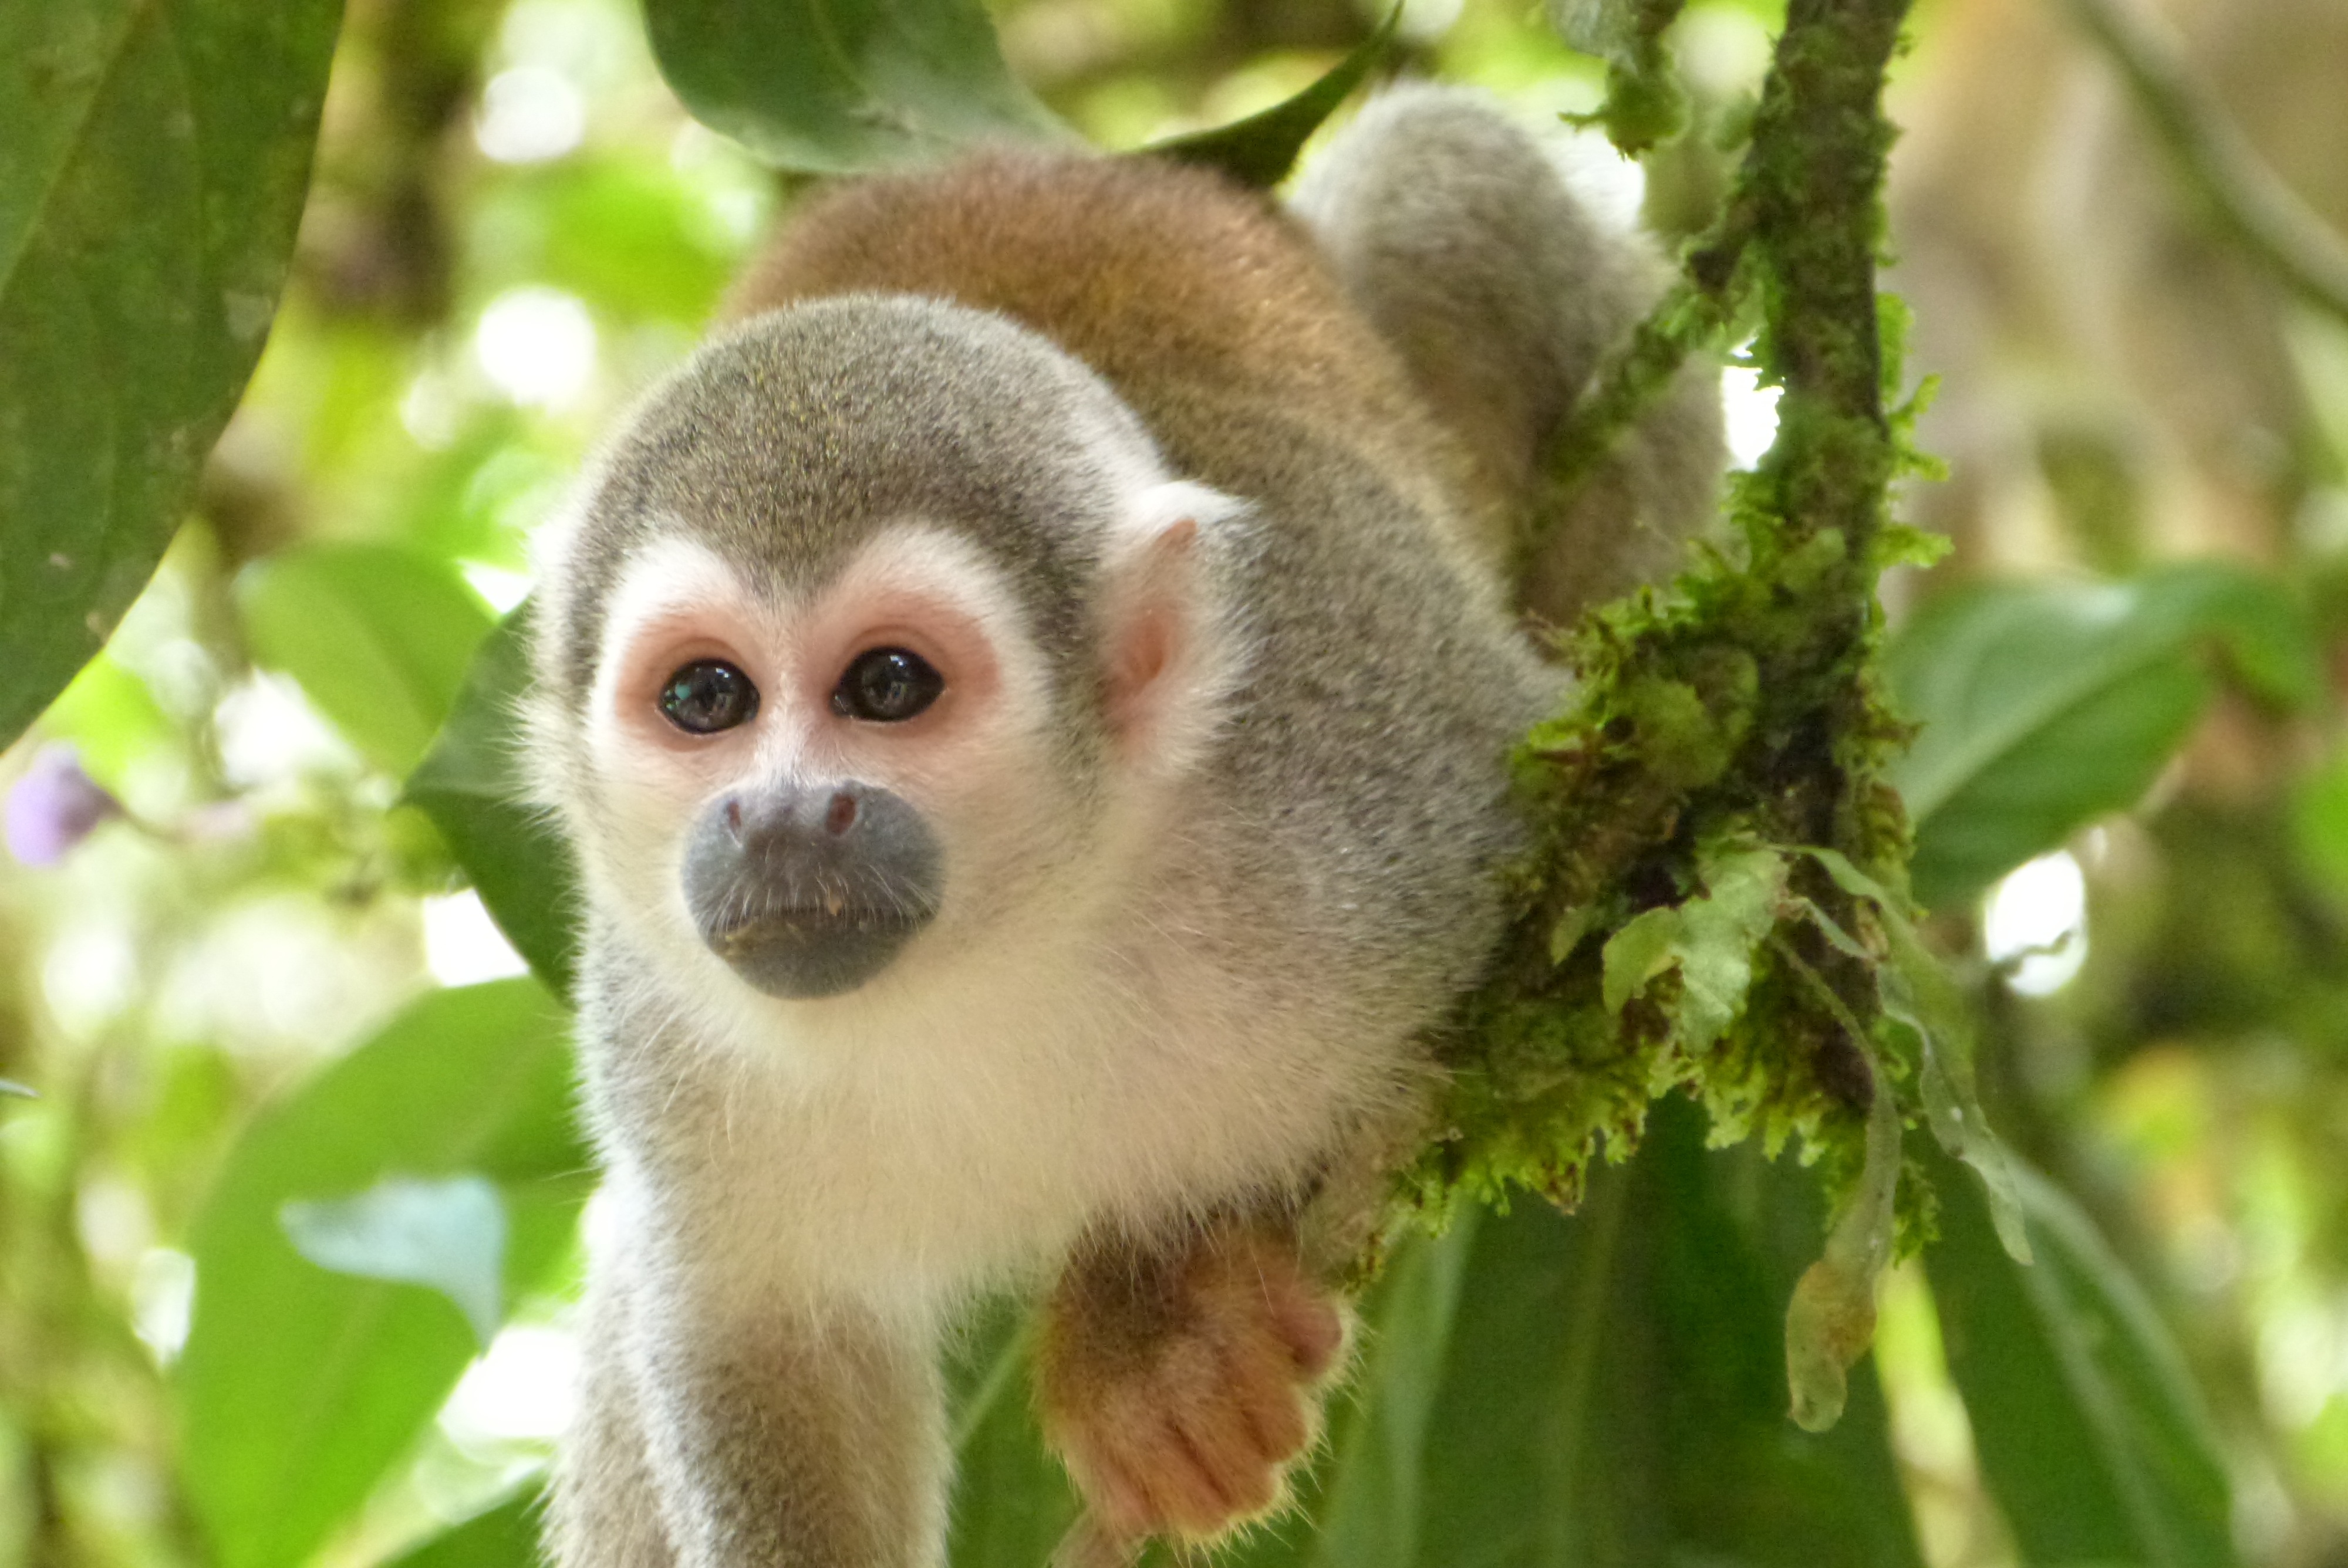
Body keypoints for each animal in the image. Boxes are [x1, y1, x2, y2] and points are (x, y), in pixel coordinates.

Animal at [527, 84, 1721, 1567]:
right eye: (706, 698)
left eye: (888, 685)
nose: (783, 816)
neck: (1017, 934)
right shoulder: (665, 1033)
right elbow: (749, 1328)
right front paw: (1152, 1341)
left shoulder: (1390, 790)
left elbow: (1634, 892)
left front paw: (1152, 1322)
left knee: (1440, 162)